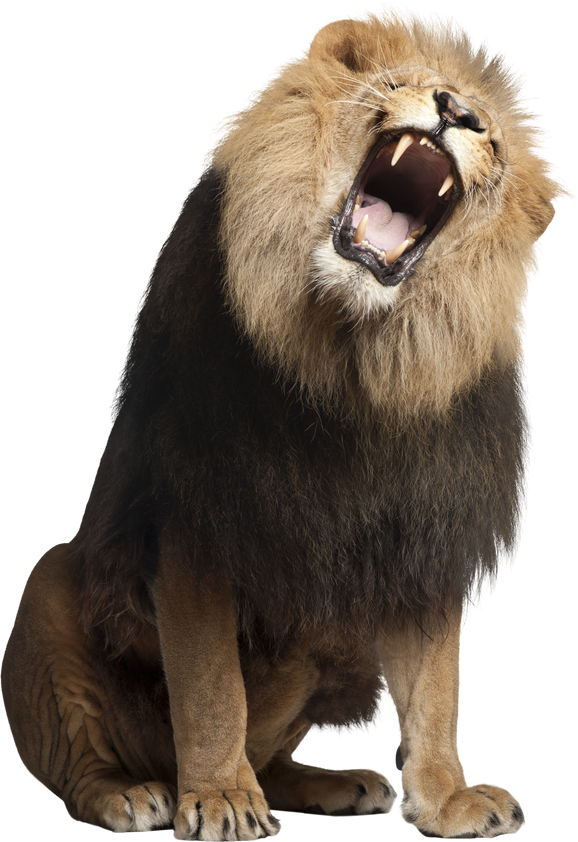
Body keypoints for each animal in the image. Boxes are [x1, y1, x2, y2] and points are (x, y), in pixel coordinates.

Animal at [2, 2, 576, 840]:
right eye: (399, 85)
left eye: (493, 139)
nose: (455, 111)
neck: (354, 356)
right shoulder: (197, 515)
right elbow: (212, 687)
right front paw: (219, 799)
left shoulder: (427, 534)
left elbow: (437, 691)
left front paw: (446, 798)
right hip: (48, 586)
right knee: (87, 765)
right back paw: (134, 794)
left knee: (274, 752)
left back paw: (331, 784)